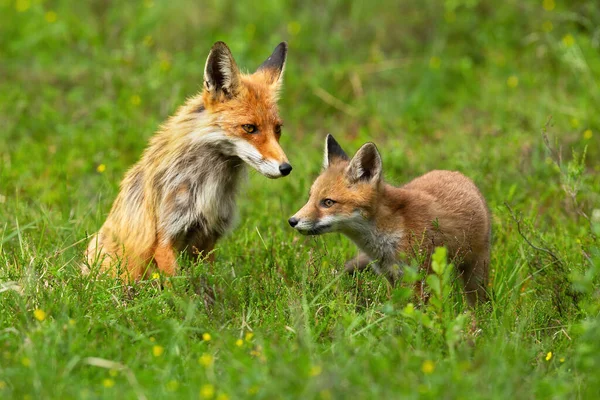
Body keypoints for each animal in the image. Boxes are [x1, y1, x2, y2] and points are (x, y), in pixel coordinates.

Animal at [86, 39, 290, 278]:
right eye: (249, 128)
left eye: (277, 129)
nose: (286, 168)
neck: (208, 187)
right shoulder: (165, 238)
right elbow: (178, 285)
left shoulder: (209, 238)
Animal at [288, 136, 490, 304]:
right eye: (310, 198)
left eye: (328, 202)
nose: (292, 221)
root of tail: (458, 174)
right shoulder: (390, 277)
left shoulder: (418, 277)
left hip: (475, 271)